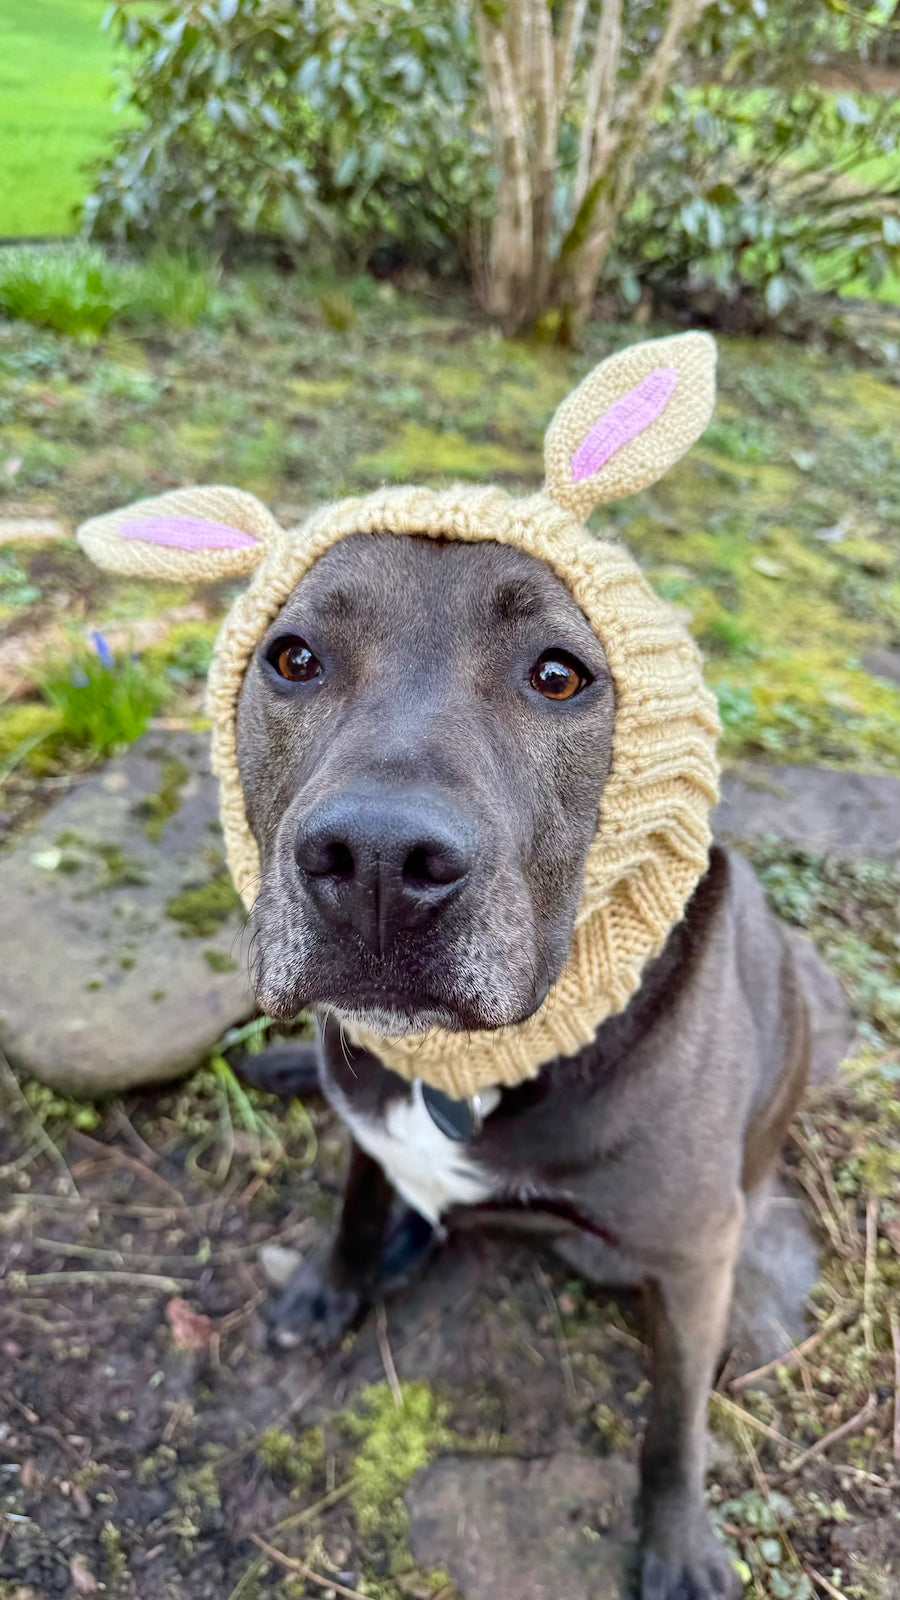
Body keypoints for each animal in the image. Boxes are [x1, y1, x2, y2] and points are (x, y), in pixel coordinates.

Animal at [232, 537, 819, 1600]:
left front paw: (679, 1542)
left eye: (559, 675)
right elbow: (358, 1201)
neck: (462, 1071)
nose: (377, 862)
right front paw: (331, 1285)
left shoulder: (694, 1255)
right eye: (294, 659)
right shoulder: (370, 1123)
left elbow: (674, 1426)